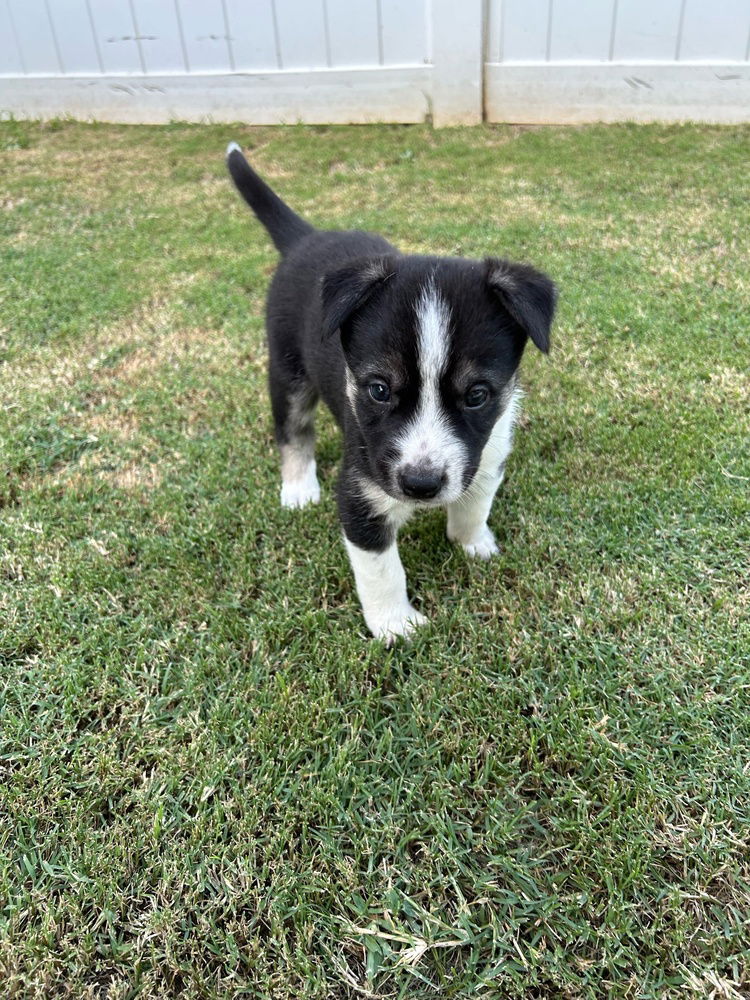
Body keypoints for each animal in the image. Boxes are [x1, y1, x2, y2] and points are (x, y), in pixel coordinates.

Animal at [228, 143, 560, 640]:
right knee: (293, 429)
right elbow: (382, 571)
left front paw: (474, 543)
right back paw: (299, 487)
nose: (420, 485)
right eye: (379, 390)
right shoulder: (360, 495)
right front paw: (396, 625)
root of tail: (307, 237)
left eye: (477, 395)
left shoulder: (488, 454)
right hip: (288, 371)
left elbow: (474, 506)